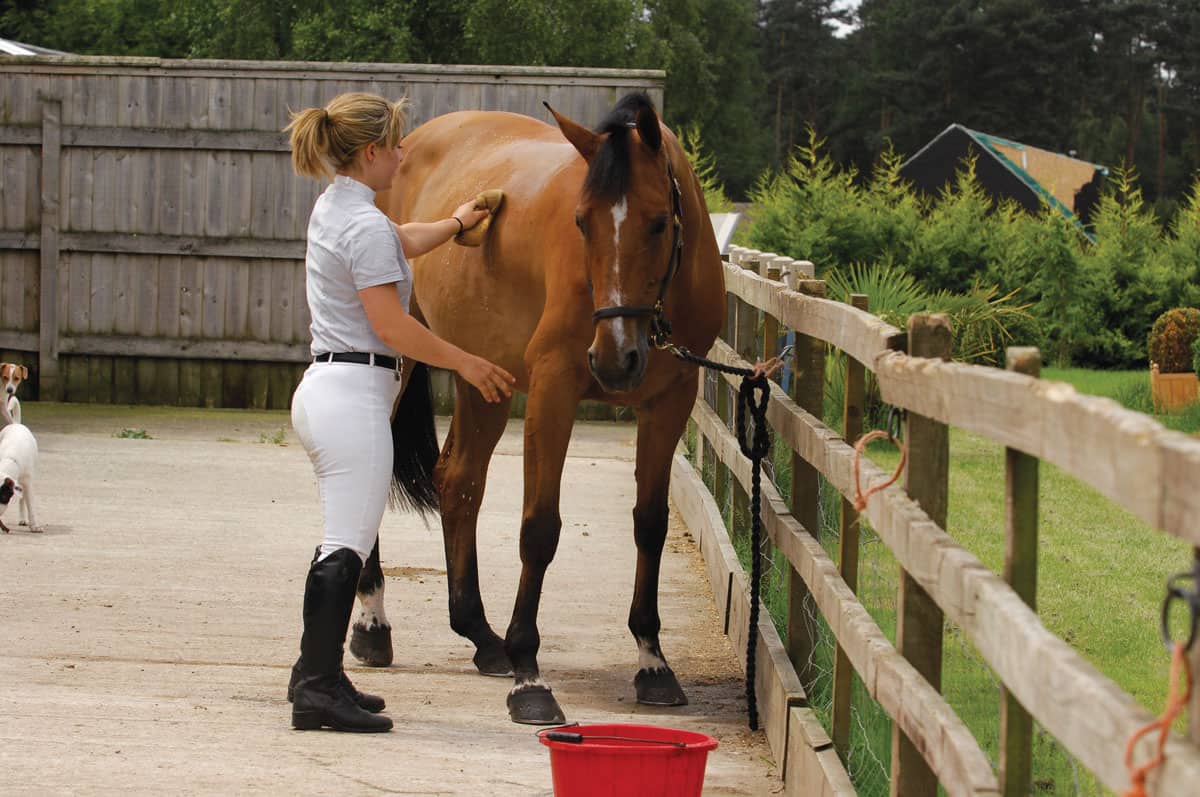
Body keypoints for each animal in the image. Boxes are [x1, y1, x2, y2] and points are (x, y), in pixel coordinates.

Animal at [348, 91, 720, 720]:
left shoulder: (669, 402)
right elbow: (539, 529)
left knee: (459, 483)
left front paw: (653, 663)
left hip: (482, 381)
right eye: (581, 221)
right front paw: (529, 674)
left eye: (658, 222)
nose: (615, 358)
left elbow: (650, 524)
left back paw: (480, 635)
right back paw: (373, 625)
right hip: (396, 363)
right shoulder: (552, 392)